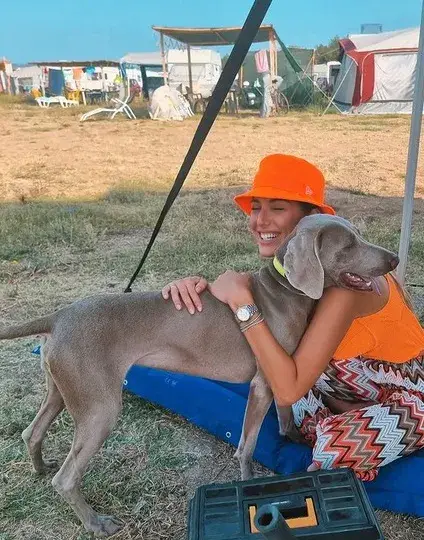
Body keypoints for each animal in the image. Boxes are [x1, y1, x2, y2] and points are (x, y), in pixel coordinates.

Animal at [0, 215, 399, 536]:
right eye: (348, 245)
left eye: (359, 235)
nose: (394, 259)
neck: (284, 290)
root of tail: (58, 317)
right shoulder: (261, 384)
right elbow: (247, 445)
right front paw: (249, 485)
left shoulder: (284, 374)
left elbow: (286, 411)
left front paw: (294, 437)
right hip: (100, 407)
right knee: (67, 477)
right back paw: (97, 523)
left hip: (62, 388)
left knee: (32, 431)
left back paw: (39, 467)